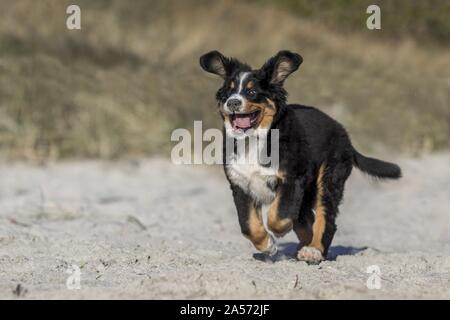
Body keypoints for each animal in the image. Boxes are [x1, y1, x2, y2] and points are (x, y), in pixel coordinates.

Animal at [199, 50, 400, 264]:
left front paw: (278, 234)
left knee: (325, 218)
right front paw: (268, 246)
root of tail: (344, 134)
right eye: (227, 93)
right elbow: (248, 225)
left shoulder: (292, 179)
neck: (253, 140)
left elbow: (278, 216)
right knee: (307, 219)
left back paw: (313, 250)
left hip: (328, 178)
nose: (233, 102)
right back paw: (303, 248)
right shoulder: (240, 184)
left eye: (252, 92)